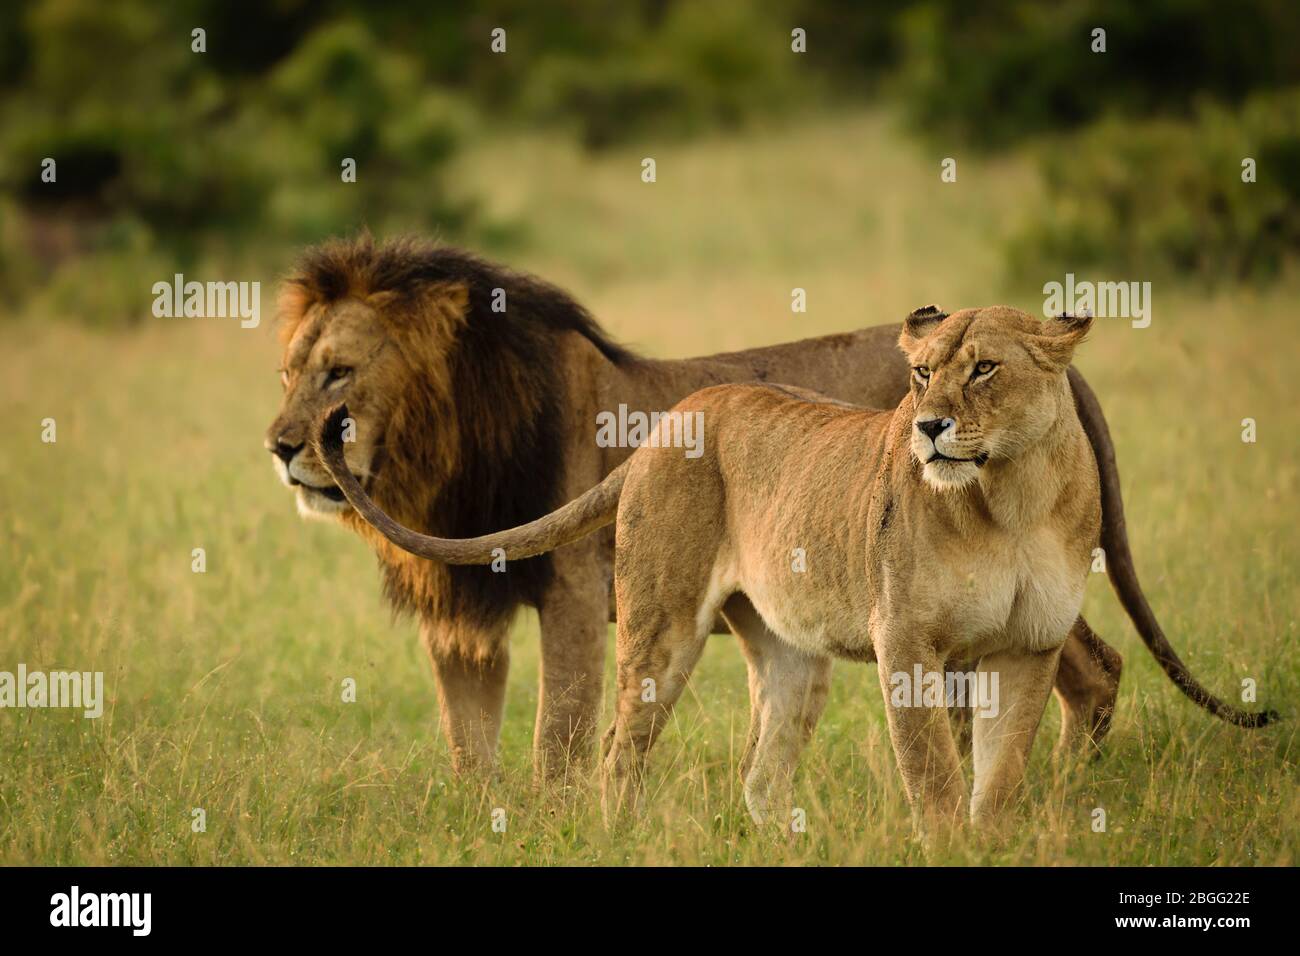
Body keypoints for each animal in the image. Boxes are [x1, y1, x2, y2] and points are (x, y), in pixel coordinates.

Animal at [267, 235, 1270, 781]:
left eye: (340, 373)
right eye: (287, 374)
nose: (281, 446)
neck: (444, 447)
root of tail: (1059, 367)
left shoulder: (574, 598)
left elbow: (558, 738)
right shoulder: (462, 620)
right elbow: (469, 750)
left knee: (1091, 667)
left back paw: (1050, 797)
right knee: (1072, 673)